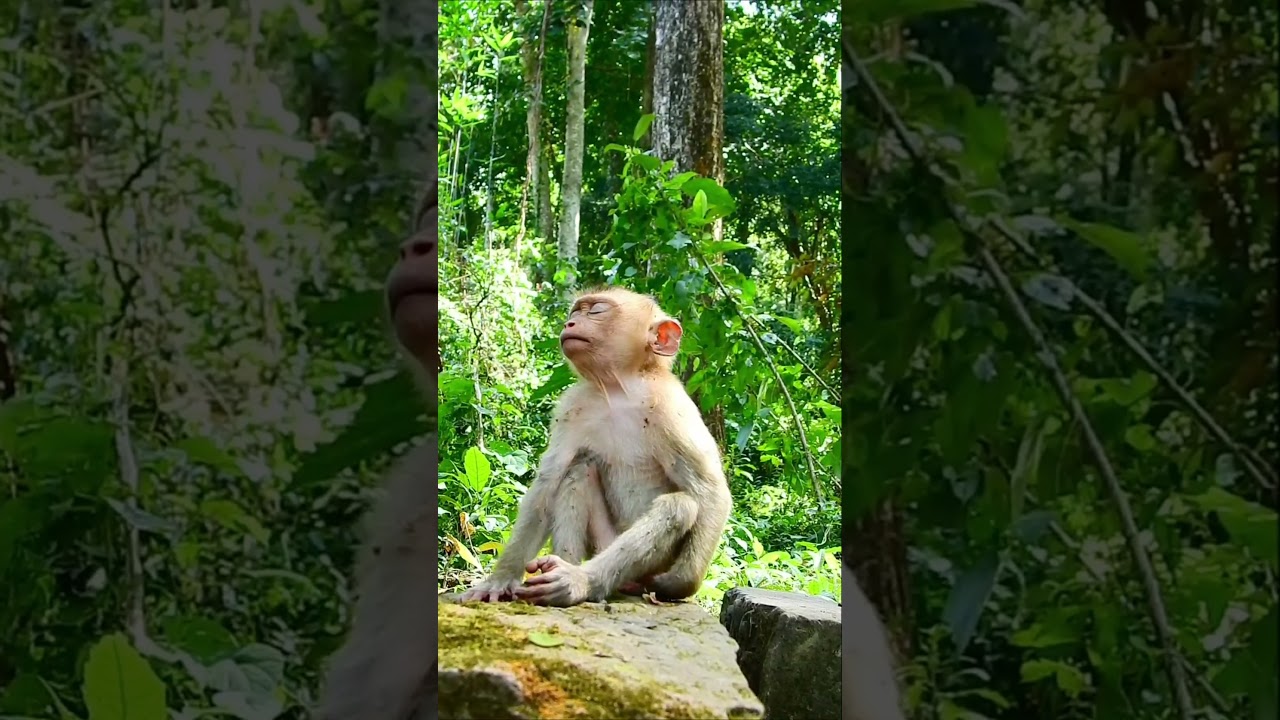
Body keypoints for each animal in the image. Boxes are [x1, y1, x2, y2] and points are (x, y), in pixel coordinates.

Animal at [458, 287, 732, 607]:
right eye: (576, 311)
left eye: (597, 310)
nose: (570, 323)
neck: (618, 391)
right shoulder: (571, 407)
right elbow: (547, 485)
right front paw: (500, 579)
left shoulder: (673, 408)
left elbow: (710, 491)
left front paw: (681, 583)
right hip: (602, 541)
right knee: (578, 470)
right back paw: (561, 572)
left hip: (649, 563)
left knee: (679, 507)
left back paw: (581, 582)